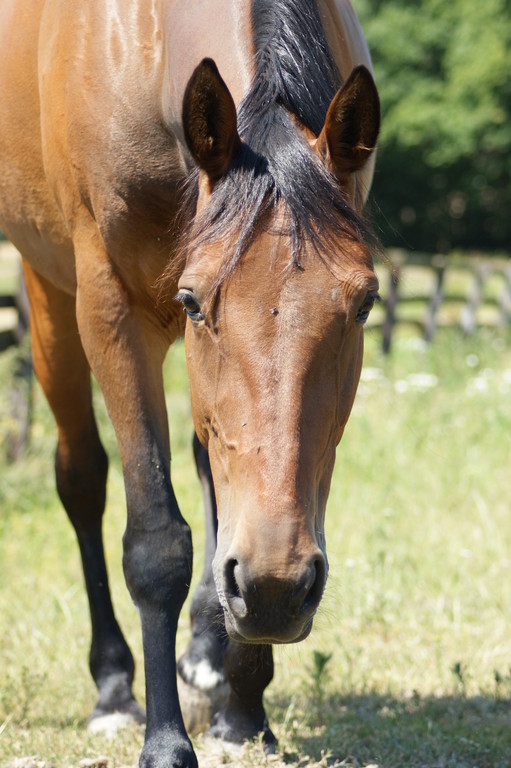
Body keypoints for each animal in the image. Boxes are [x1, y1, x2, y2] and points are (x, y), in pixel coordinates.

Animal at [0, 1, 380, 768]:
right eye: (194, 302)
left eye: (363, 305)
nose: (274, 586)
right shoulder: (110, 305)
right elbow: (156, 541)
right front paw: (166, 743)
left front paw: (243, 710)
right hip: (48, 293)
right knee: (81, 477)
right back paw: (114, 689)